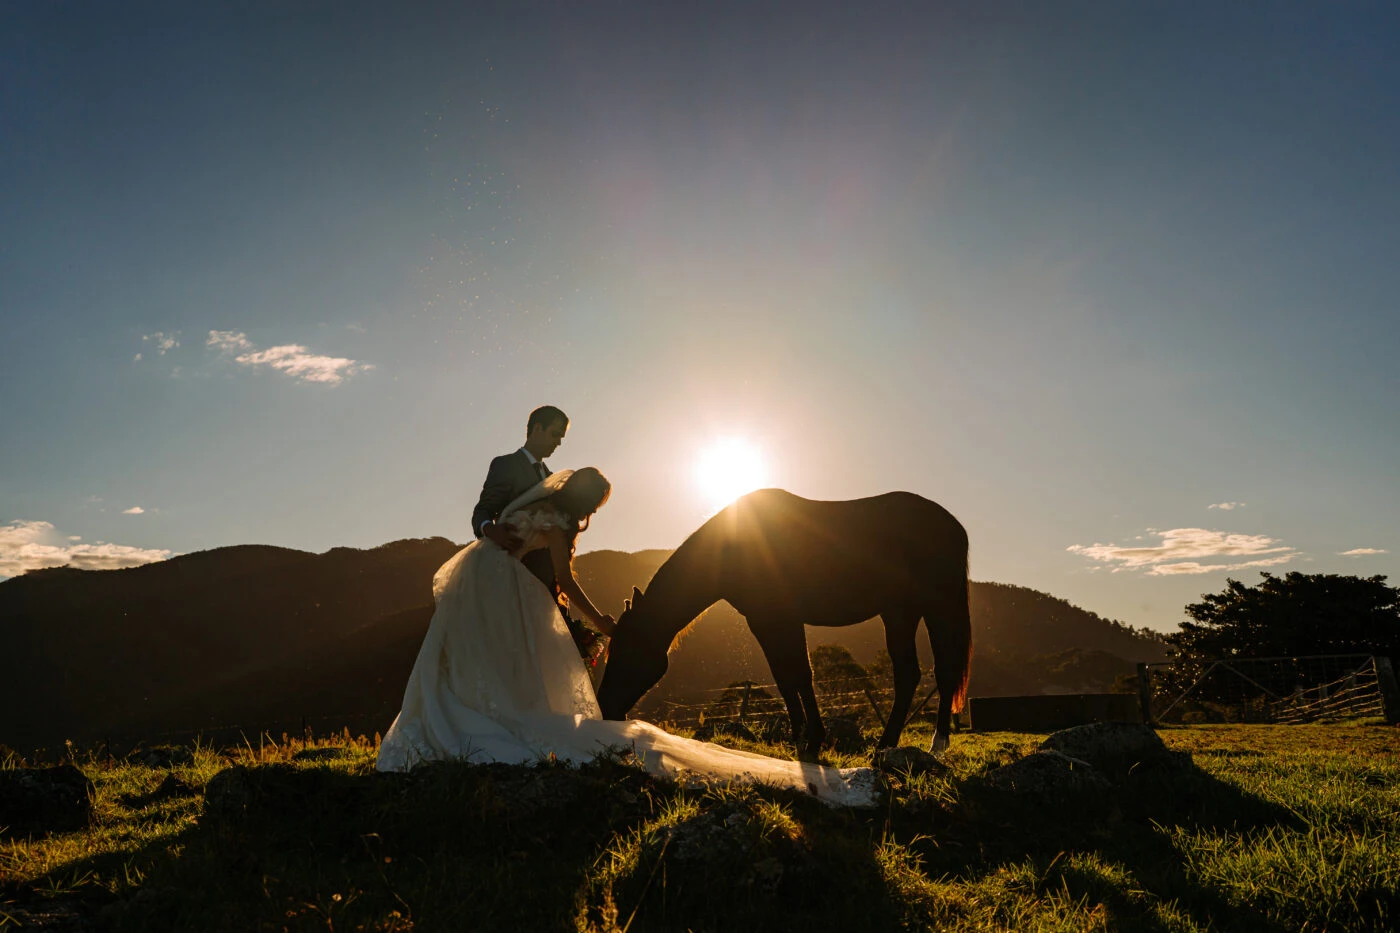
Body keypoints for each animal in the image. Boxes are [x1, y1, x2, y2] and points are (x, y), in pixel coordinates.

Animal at [596, 488, 971, 758]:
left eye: (627, 652)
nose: (605, 707)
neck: (736, 546)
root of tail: (953, 526)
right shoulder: (771, 621)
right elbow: (788, 676)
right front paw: (802, 737)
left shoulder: (775, 619)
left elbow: (798, 674)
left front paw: (813, 739)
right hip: (903, 612)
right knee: (915, 674)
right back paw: (895, 744)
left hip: (931, 608)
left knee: (937, 672)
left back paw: (925, 745)